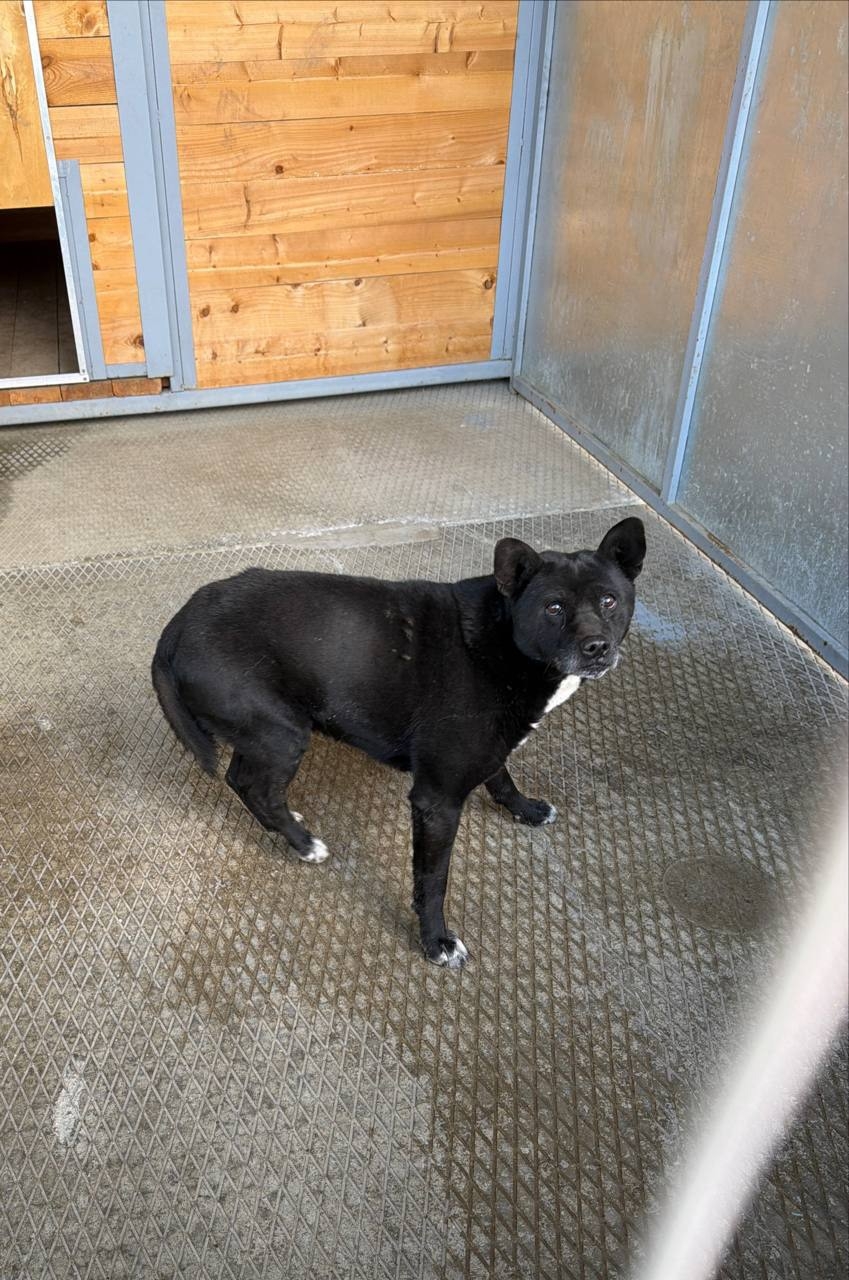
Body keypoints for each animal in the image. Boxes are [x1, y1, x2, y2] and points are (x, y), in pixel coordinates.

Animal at [152, 517, 645, 969]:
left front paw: (524, 809)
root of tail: (176, 628)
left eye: (608, 600)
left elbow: (501, 776)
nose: (597, 647)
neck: (503, 641)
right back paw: (304, 843)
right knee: (255, 787)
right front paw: (436, 942)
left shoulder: (487, 749)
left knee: (243, 779)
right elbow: (432, 881)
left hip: (264, 732)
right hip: (282, 732)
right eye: (554, 607)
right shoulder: (436, 801)